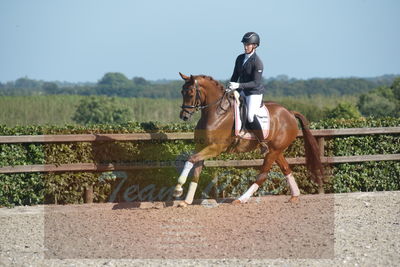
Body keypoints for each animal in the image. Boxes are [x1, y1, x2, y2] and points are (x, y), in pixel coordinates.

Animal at [173, 74, 324, 209]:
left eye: (191, 92)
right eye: (182, 92)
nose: (184, 116)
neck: (217, 113)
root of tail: (290, 113)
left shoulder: (215, 147)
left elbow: (191, 159)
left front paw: (178, 189)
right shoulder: (201, 146)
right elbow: (195, 170)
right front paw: (186, 201)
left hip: (273, 152)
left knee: (262, 175)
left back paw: (241, 199)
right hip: (275, 150)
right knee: (286, 169)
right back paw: (295, 196)